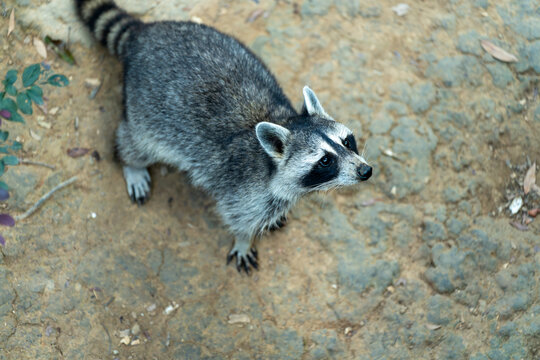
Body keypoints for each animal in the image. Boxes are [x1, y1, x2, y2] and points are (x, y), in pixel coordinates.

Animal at [75, 0, 372, 272]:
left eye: (347, 141)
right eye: (325, 160)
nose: (366, 171)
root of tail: (145, 32)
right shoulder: (242, 188)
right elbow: (239, 217)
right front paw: (244, 240)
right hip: (145, 110)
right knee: (136, 142)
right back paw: (132, 164)